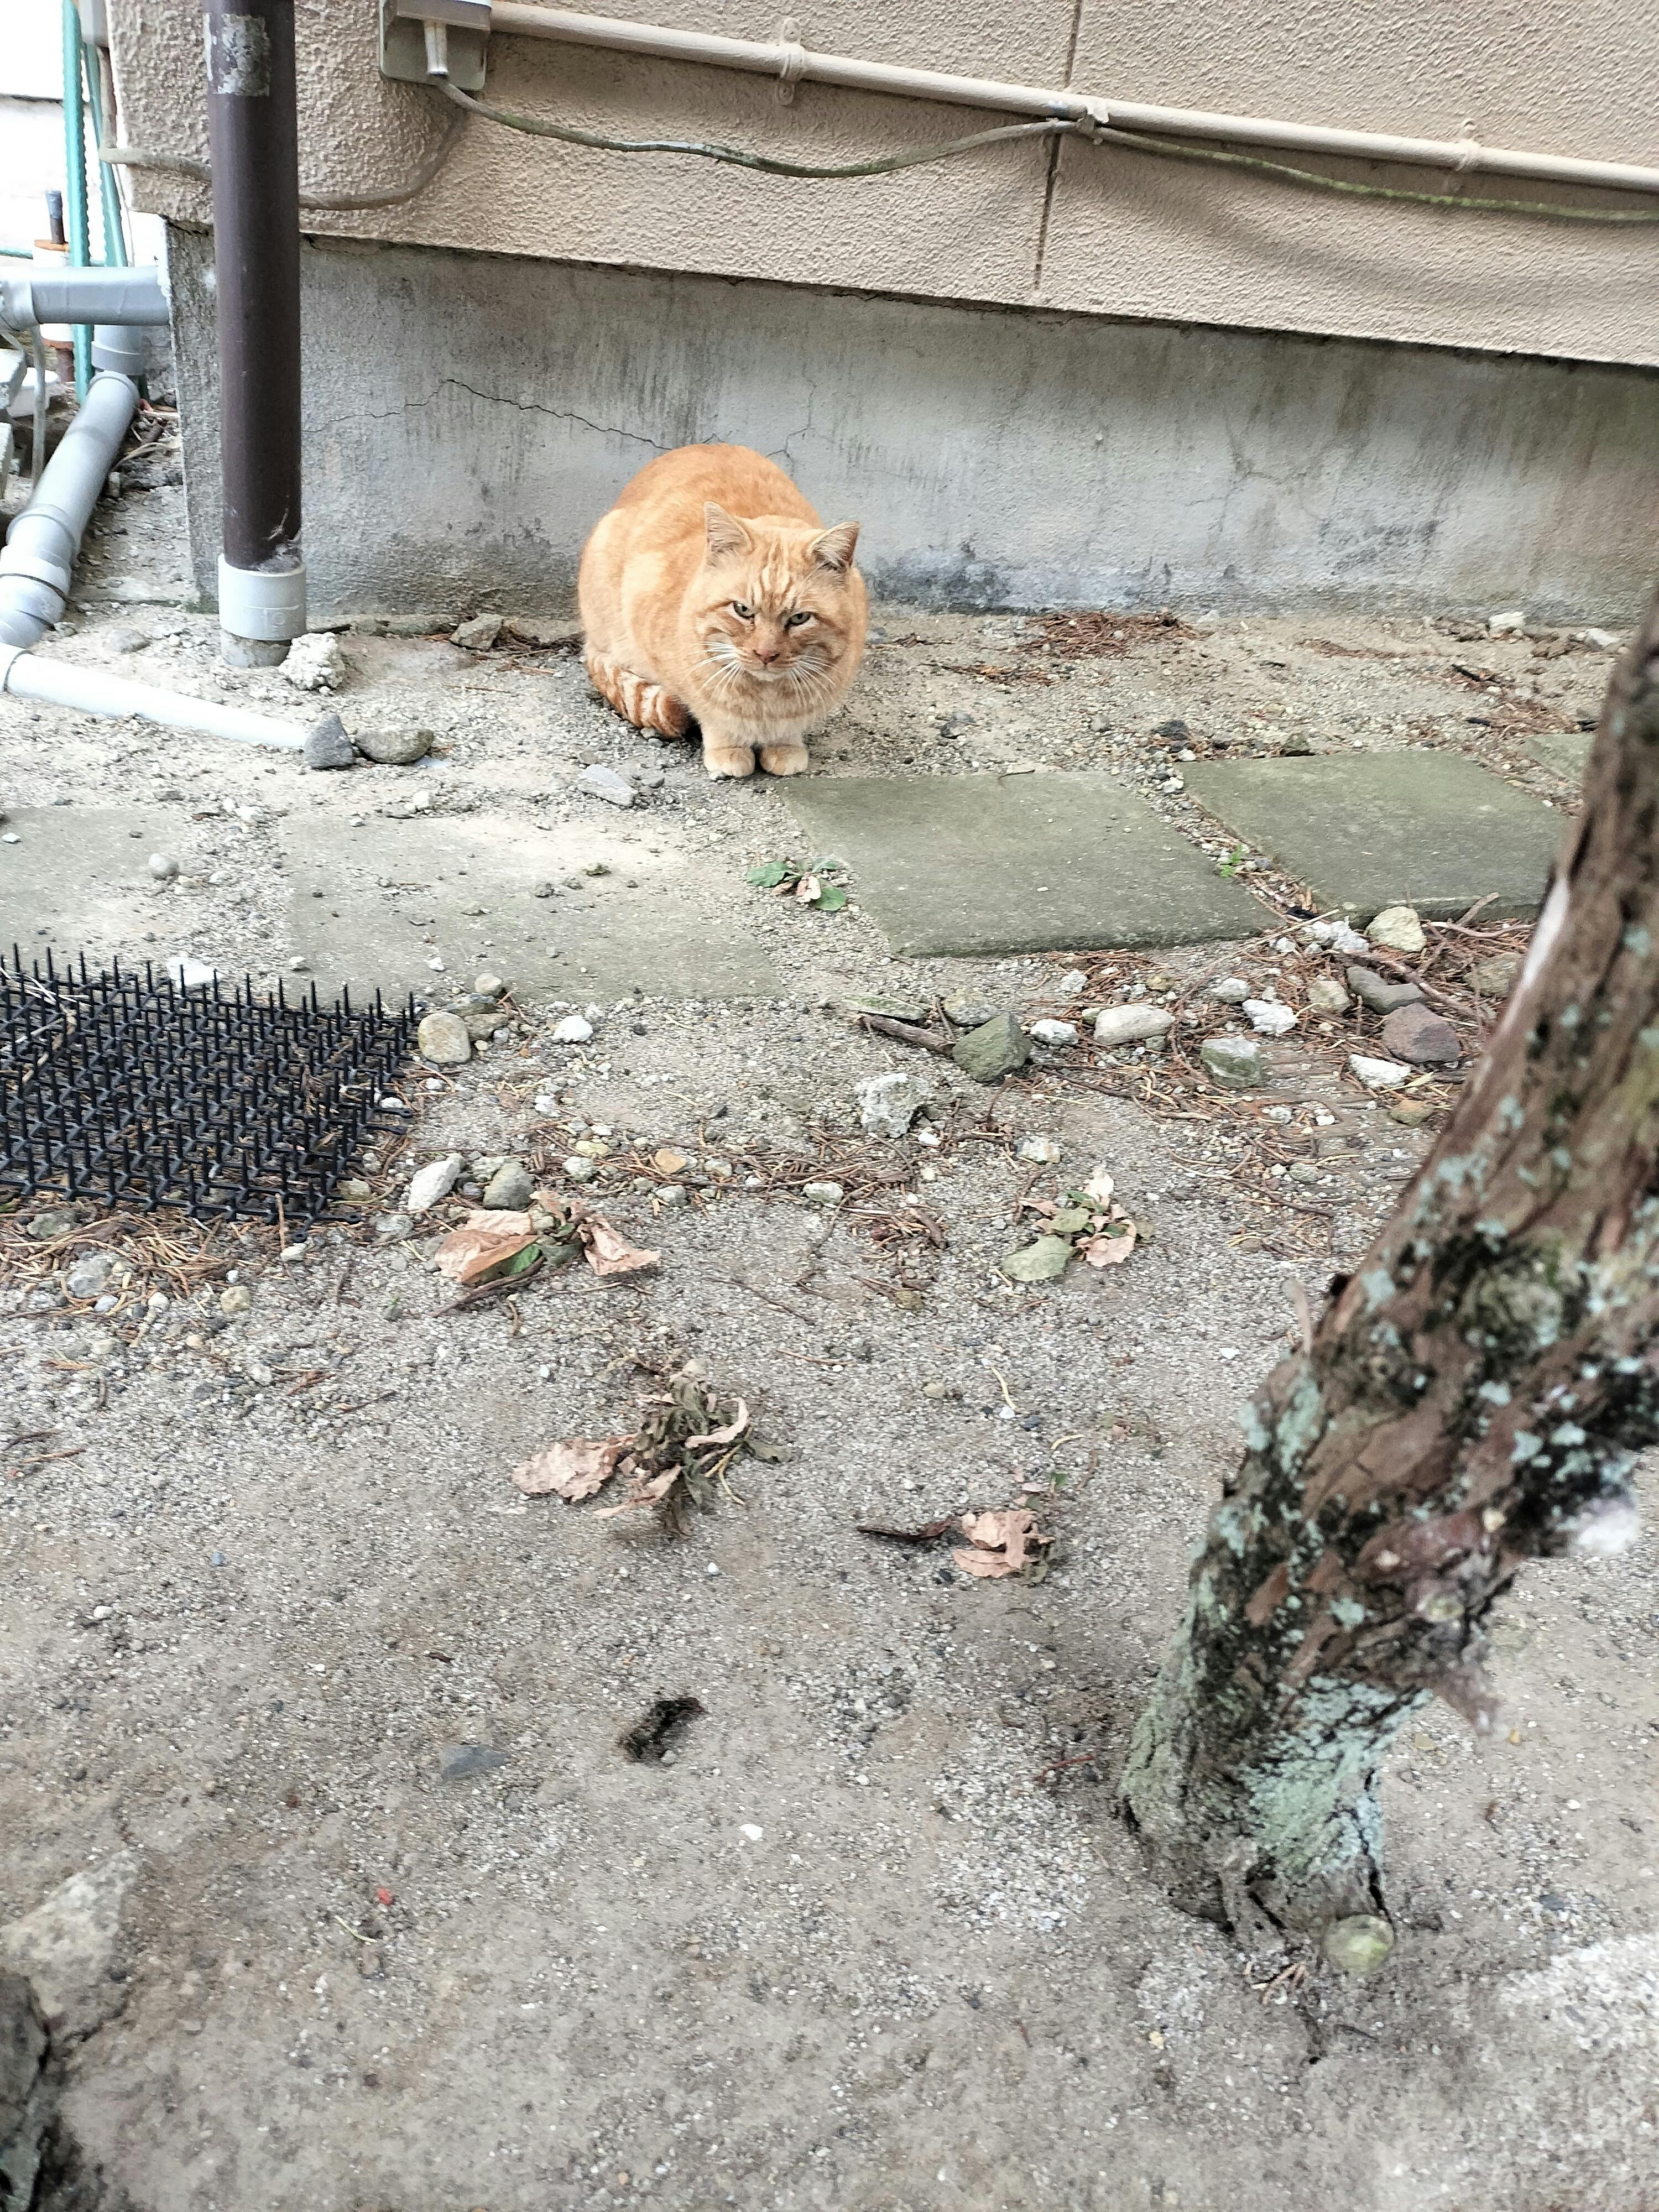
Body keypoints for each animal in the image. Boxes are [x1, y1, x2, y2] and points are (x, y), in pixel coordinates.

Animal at [577, 443, 866, 779]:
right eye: (742, 610)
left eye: (799, 618)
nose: (765, 654)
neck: (766, 699)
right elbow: (712, 714)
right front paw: (729, 749)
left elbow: (788, 728)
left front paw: (784, 746)